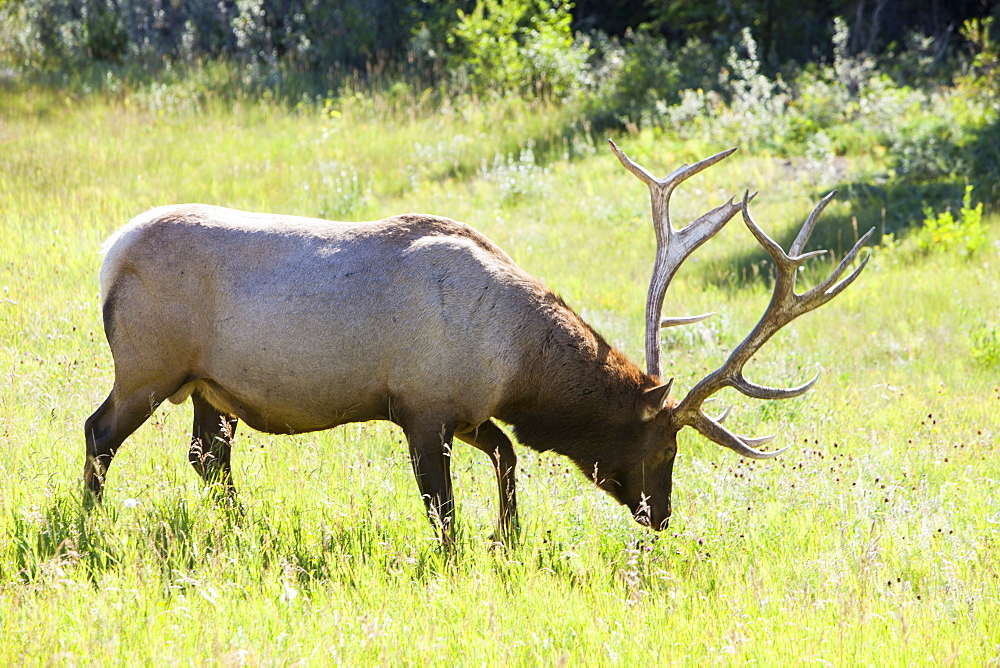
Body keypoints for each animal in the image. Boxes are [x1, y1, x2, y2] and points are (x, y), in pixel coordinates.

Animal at [84, 144, 868, 540]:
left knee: (206, 458)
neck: (516, 361)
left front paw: (509, 540)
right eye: (664, 449)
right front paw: (459, 555)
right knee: (99, 432)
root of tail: (109, 254)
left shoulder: (467, 411)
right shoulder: (420, 406)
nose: (662, 517)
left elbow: (508, 457)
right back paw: (88, 528)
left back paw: (245, 531)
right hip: (147, 368)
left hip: (207, 387)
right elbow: (444, 508)